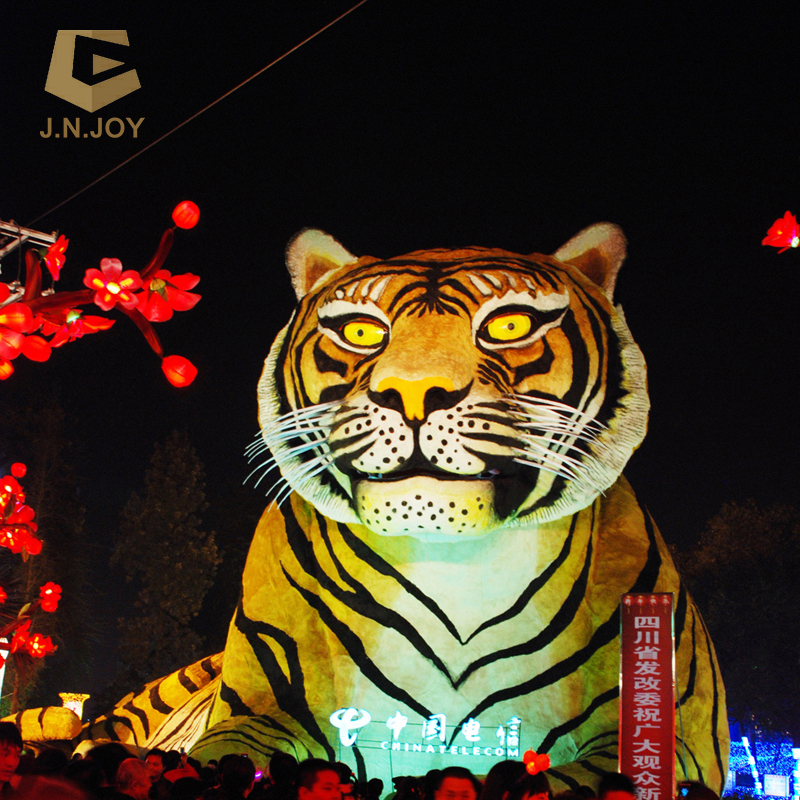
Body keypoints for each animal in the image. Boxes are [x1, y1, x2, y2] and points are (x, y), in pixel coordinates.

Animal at [85, 223, 728, 792]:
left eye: (510, 324)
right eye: (362, 332)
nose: (414, 391)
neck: (457, 562)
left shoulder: (671, 732)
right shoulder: (261, 704)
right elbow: (216, 758)